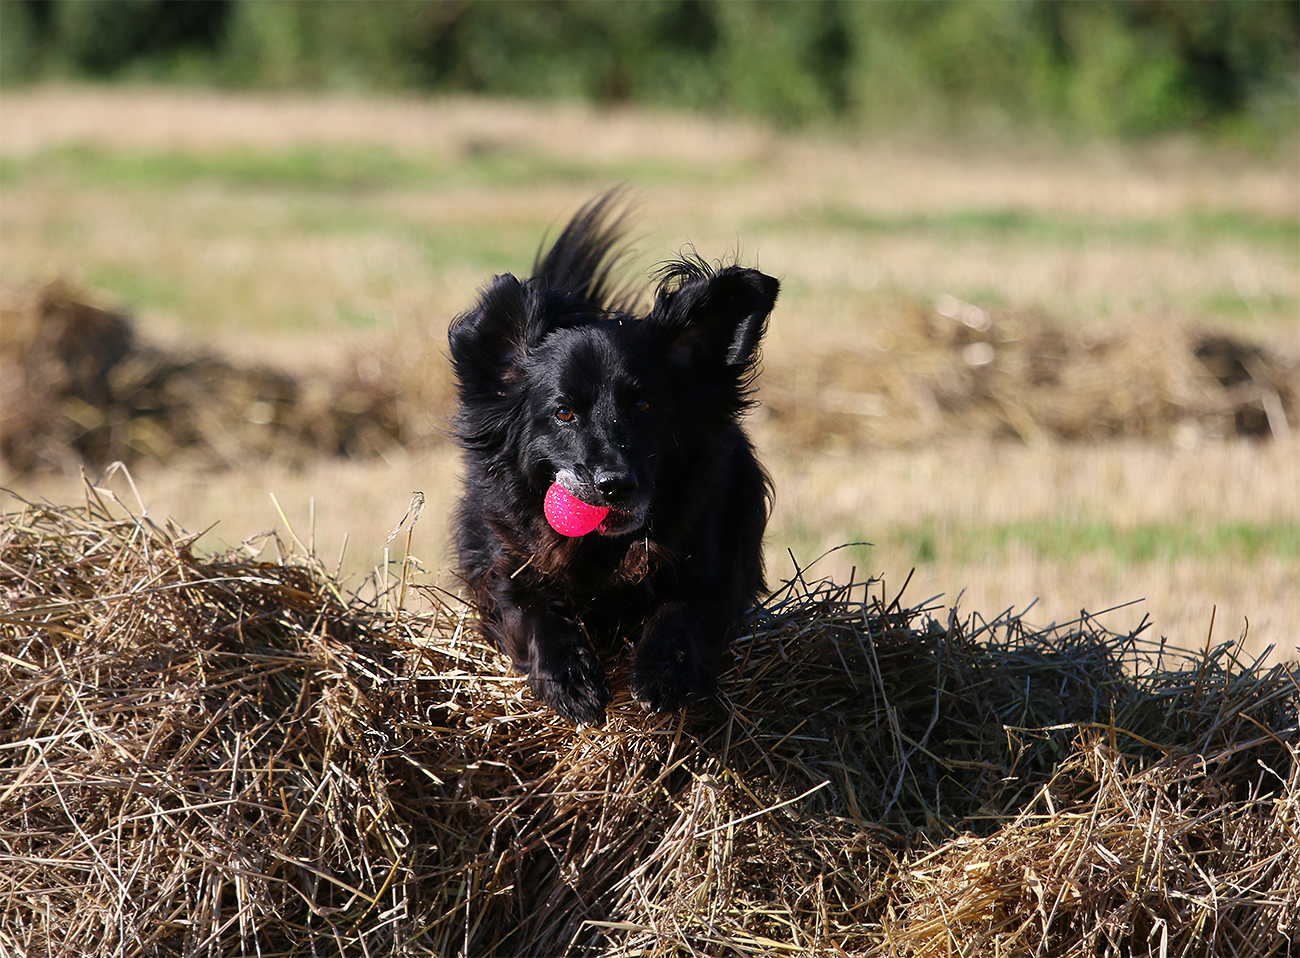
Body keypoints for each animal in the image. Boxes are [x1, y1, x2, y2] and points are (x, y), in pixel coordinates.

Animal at [448, 191, 778, 725]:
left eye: (643, 405)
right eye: (563, 412)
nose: (614, 484)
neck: (604, 550)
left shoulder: (709, 561)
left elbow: (683, 609)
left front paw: (663, 672)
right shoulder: (509, 566)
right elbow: (533, 614)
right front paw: (570, 679)